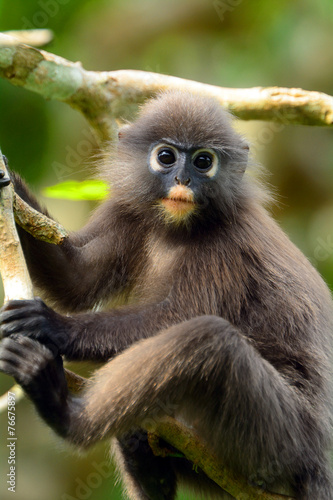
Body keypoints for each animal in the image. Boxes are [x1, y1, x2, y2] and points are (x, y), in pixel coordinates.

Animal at [0, 92, 332, 498]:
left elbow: (176, 317)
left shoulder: (227, 246)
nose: (183, 179)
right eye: (166, 156)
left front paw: (54, 325)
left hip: (286, 438)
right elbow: (76, 278)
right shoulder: (128, 212)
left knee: (210, 341)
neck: (175, 228)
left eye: (204, 161)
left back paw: (63, 411)